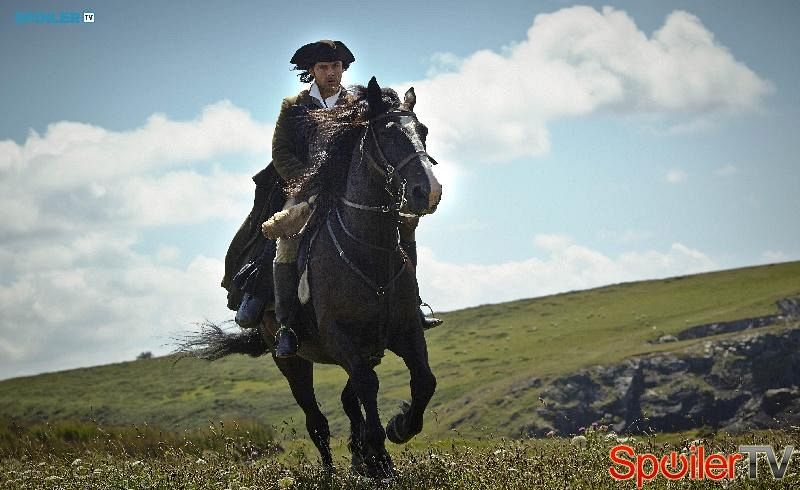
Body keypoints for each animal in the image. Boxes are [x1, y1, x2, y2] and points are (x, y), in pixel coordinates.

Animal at [186, 77, 442, 478]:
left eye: (423, 131)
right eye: (387, 134)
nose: (427, 192)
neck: (369, 254)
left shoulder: (405, 332)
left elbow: (423, 381)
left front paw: (398, 429)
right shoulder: (341, 340)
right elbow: (368, 388)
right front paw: (380, 455)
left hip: (369, 350)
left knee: (349, 402)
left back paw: (361, 457)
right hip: (291, 361)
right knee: (317, 419)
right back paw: (332, 470)